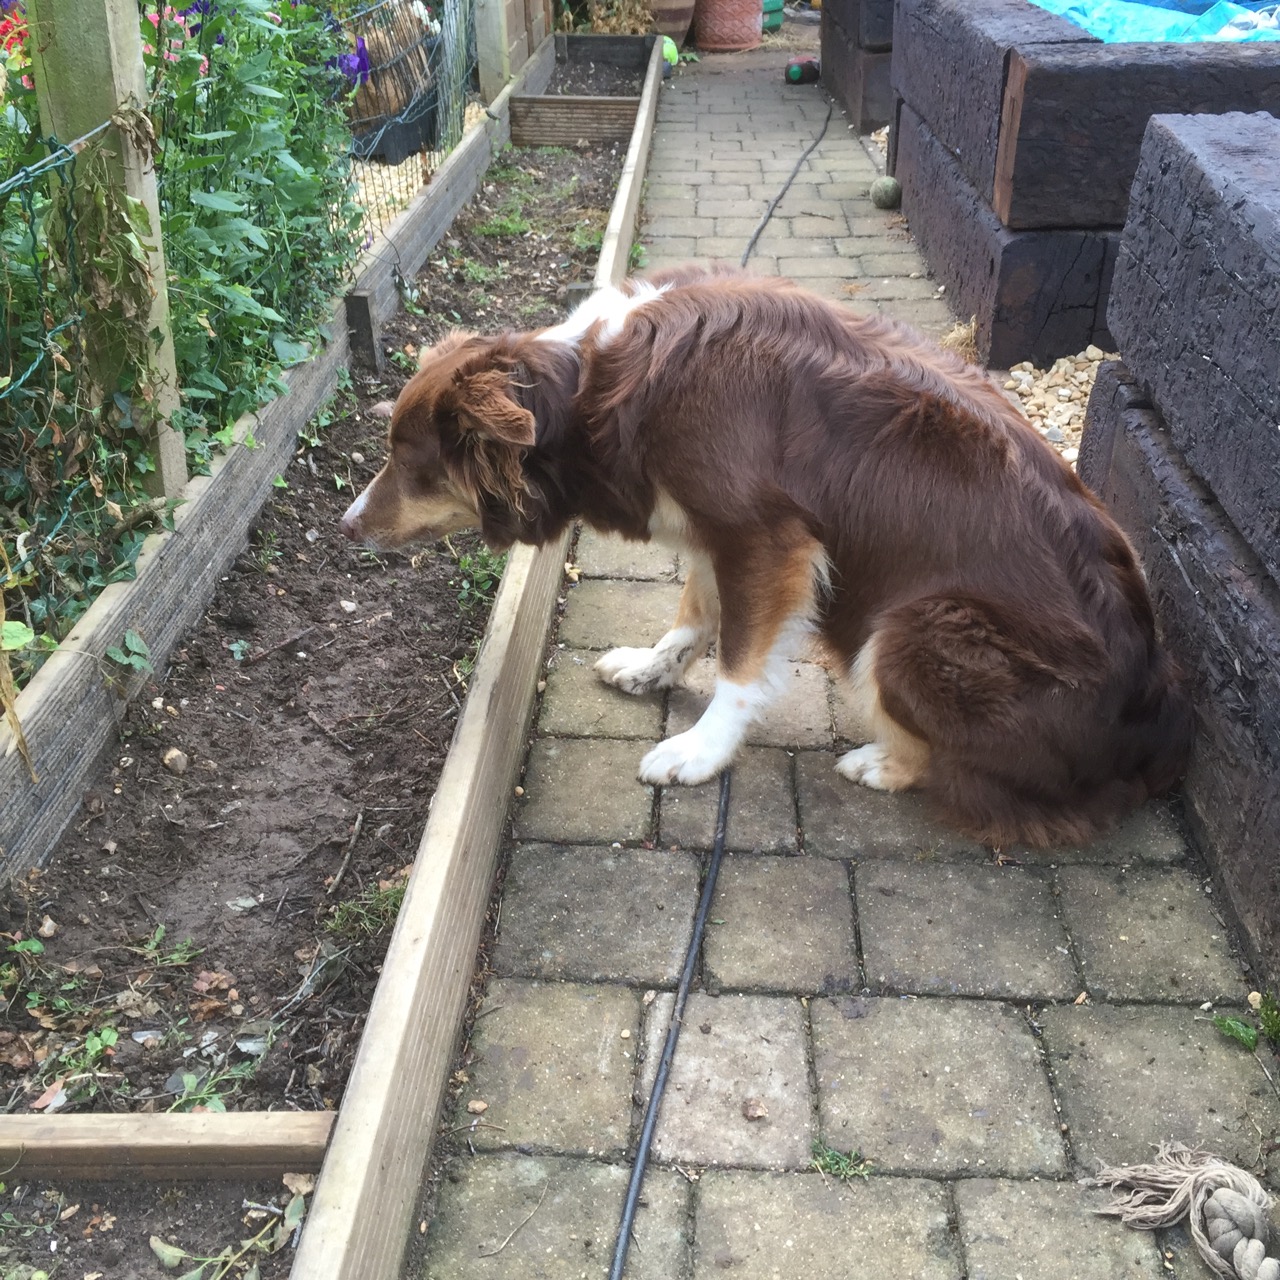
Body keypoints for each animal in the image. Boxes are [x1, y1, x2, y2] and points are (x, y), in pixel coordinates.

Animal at [337, 267, 1187, 849]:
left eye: (411, 466)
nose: (345, 527)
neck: (587, 388)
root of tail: (1150, 734)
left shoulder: (769, 538)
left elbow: (743, 664)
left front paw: (701, 751)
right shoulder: (718, 532)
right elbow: (694, 612)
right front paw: (653, 668)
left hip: (912, 627)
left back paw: (883, 762)